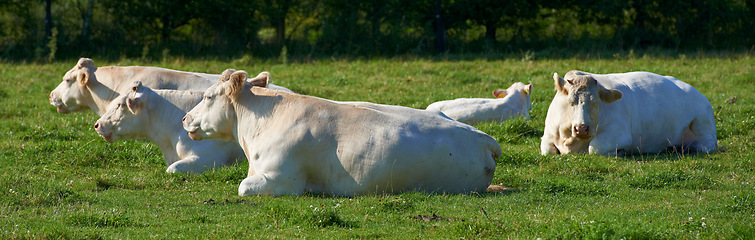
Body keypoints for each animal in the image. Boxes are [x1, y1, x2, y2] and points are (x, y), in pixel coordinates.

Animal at [540, 70, 716, 156]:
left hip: (703, 123)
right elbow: (547, 151)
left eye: (595, 102)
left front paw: (619, 152)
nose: (582, 128)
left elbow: (594, 147)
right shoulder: (547, 135)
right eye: (570, 102)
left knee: (707, 145)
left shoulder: (620, 134)